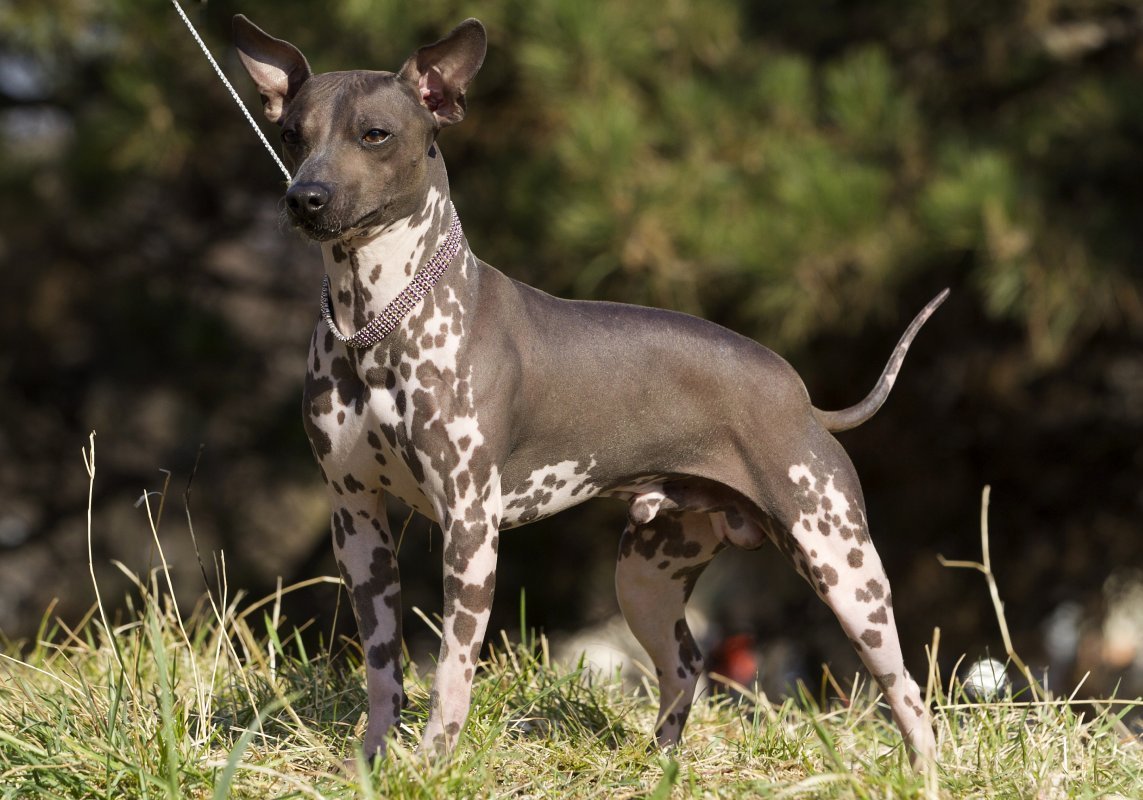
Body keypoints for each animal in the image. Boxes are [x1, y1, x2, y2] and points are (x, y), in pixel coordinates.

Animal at [234, 15, 946, 768]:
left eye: (374, 134)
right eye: (294, 135)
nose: (304, 198)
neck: (373, 320)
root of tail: (801, 398)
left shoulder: (469, 528)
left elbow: (453, 668)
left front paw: (434, 761)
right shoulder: (356, 519)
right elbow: (381, 665)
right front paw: (370, 760)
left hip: (842, 565)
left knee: (905, 688)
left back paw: (922, 770)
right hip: (645, 578)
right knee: (686, 665)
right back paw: (659, 762)